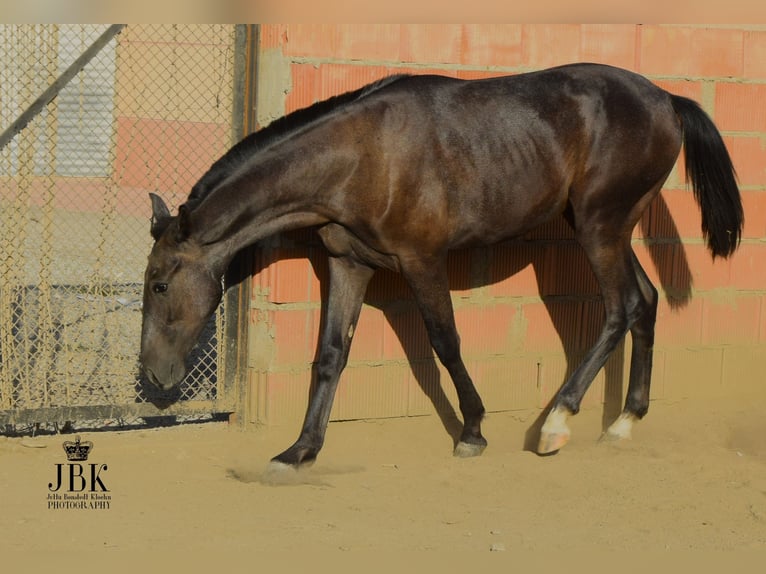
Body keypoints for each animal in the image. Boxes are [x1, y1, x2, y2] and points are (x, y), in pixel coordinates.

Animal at [140, 64, 744, 468]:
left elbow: (444, 342)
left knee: (621, 309)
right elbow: (331, 354)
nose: (153, 375)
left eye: (160, 284)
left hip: (600, 228)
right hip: (608, 228)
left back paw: (557, 422)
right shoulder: (348, 263)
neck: (362, 157)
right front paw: (301, 449)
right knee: (646, 303)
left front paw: (472, 430)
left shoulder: (422, 261)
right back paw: (623, 421)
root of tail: (666, 98)